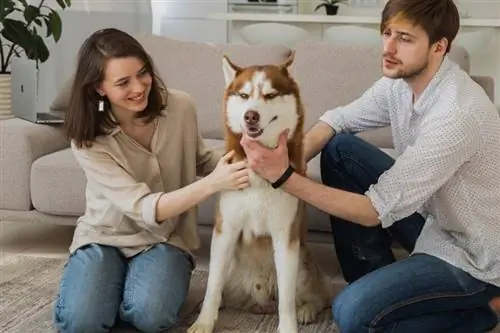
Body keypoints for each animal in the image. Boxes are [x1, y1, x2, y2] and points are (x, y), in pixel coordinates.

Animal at [186, 53, 334, 330]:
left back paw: (307, 310)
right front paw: (203, 323)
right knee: (220, 287)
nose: (250, 116)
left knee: (319, 296)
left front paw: (288, 327)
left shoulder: (285, 237)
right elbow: (212, 285)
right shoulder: (225, 231)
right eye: (244, 95)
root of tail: (258, 300)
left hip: (302, 263)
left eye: (270, 95)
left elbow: (286, 299)